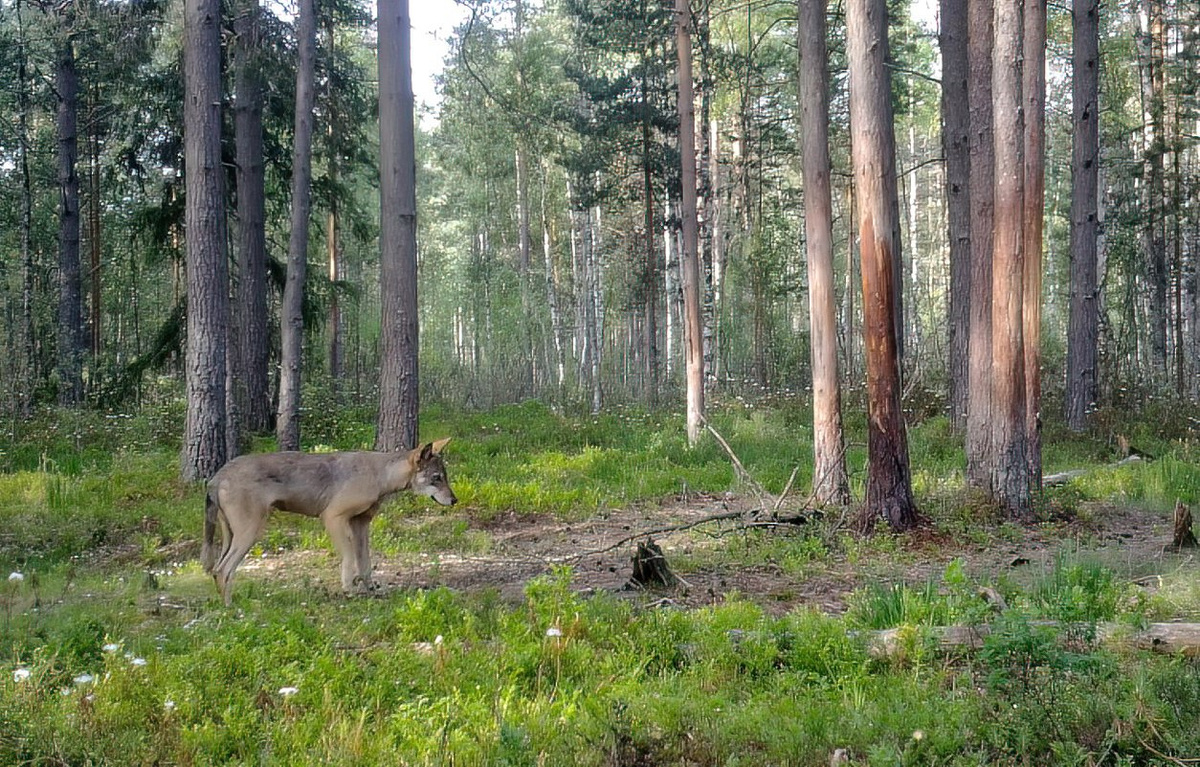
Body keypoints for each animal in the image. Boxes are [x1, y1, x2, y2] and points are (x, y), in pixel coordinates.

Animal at [201, 436, 453, 604]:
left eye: (444, 477)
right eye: (437, 478)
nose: (455, 500)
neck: (380, 475)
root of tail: (218, 476)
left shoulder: (361, 524)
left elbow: (365, 563)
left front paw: (371, 591)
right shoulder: (333, 517)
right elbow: (350, 560)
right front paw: (349, 590)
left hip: (232, 535)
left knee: (217, 570)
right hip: (250, 533)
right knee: (223, 570)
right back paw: (234, 611)